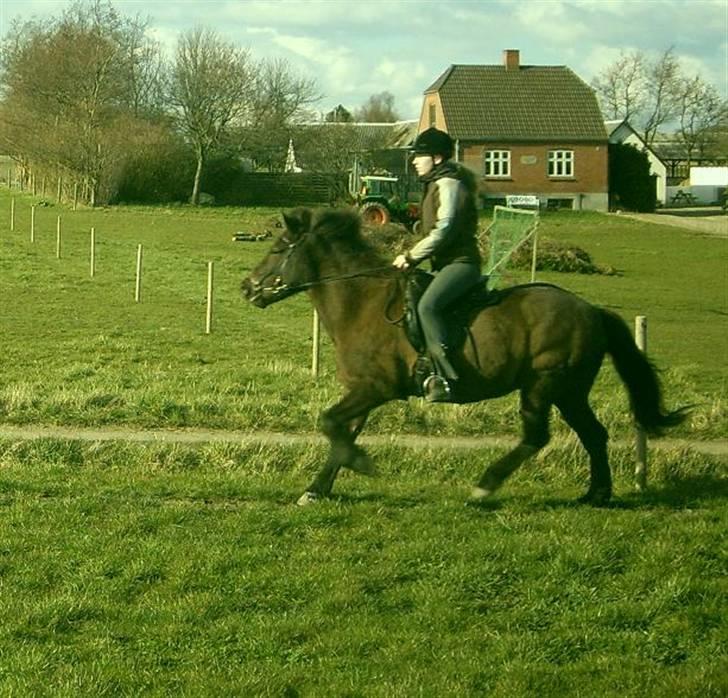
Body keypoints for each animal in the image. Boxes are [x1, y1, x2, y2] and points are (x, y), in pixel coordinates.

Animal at [240, 207, 688, 506]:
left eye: (279, 248)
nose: (247, 287)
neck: (361, 302)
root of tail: (590, 309)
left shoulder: (376, 388)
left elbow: (329, 423)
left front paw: (360, 466)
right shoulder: (362, 391)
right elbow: (340, 433)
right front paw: (317, 489)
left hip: (544, 385)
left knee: (537, 437)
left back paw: (486, 485)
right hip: (569, 392)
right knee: (594, 435)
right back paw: (596, 494)